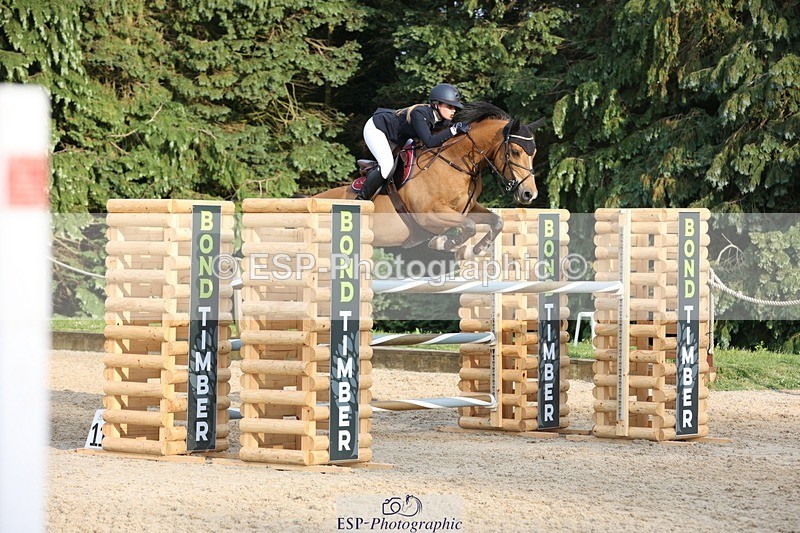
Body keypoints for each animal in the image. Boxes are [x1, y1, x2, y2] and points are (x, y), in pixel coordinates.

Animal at [314, 102, 542, 259]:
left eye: (534, 153)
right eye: (515, 152)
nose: (529, 194)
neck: (454, 162)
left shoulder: (467, 208)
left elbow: (496, 221)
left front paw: (477, 249)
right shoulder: (428, 215)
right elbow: (469, 226)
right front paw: (446, 243)